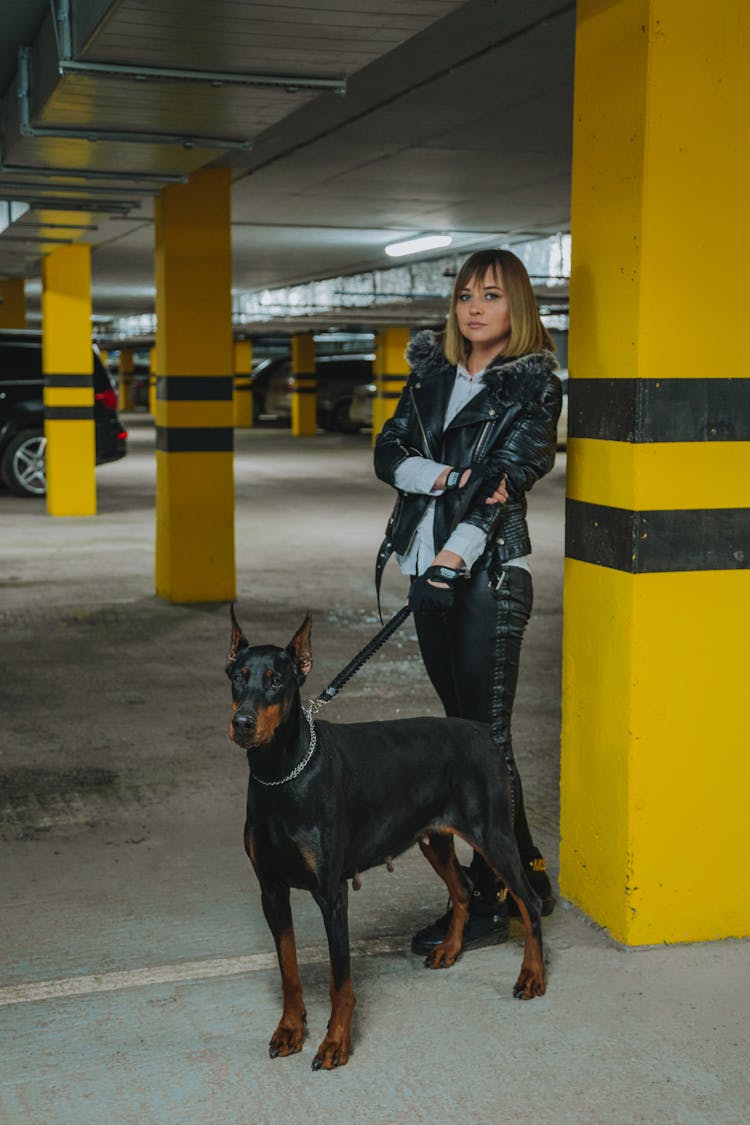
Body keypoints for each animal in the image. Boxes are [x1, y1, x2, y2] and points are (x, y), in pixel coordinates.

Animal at [224, 607, 546, 1071]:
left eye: (276, 681)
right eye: (238, 676)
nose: (243, 724)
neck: (282, 776)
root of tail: (484, 732)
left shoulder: (331, 893)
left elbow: (341, 981)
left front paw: (335, 1042)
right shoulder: (271, 889)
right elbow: (289, 970)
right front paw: (290, 1029)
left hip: (494, 836)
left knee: (529, 902)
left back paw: (532, 975)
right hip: (434, 837)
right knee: (463, 888)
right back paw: (450, 949)